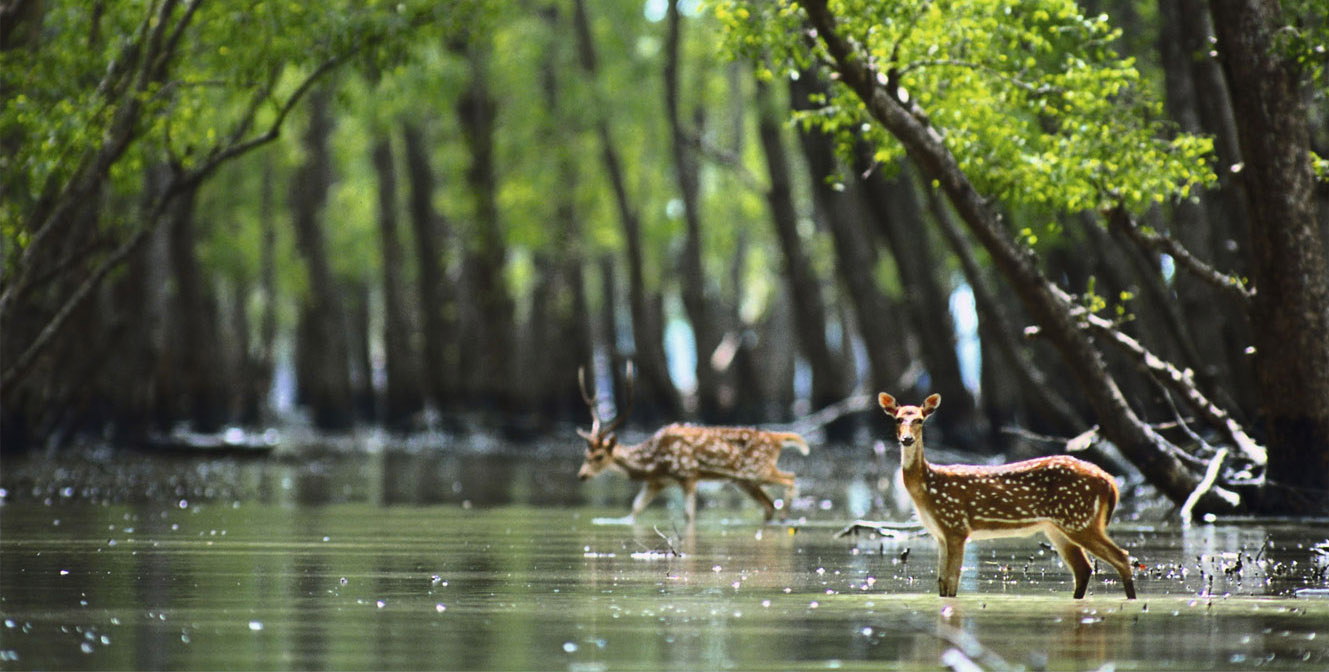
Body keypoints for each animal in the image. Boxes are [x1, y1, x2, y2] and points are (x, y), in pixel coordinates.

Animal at [574, 363, 808, 523]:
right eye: (585, 455)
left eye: (599, 456)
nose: (582, 475)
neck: (652, 461)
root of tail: (777, 438)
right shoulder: (657, 482)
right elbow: (635, 509)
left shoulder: (688, 474)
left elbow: (688, 516)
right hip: (744, 480)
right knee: (768, 505)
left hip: (757, 470)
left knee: (791, 478)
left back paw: (785, 516)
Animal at [877, 390, 1137, 600]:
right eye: (898, 418)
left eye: (920, 420)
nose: (907, 439)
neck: (928, 488)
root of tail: (1109, 481)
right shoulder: (940, 533)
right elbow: (942, 584)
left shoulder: (956, 526)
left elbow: (951, 584)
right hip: (1059, 526)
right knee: (1084, 569)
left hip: (1080, 518)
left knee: (1122, 557)